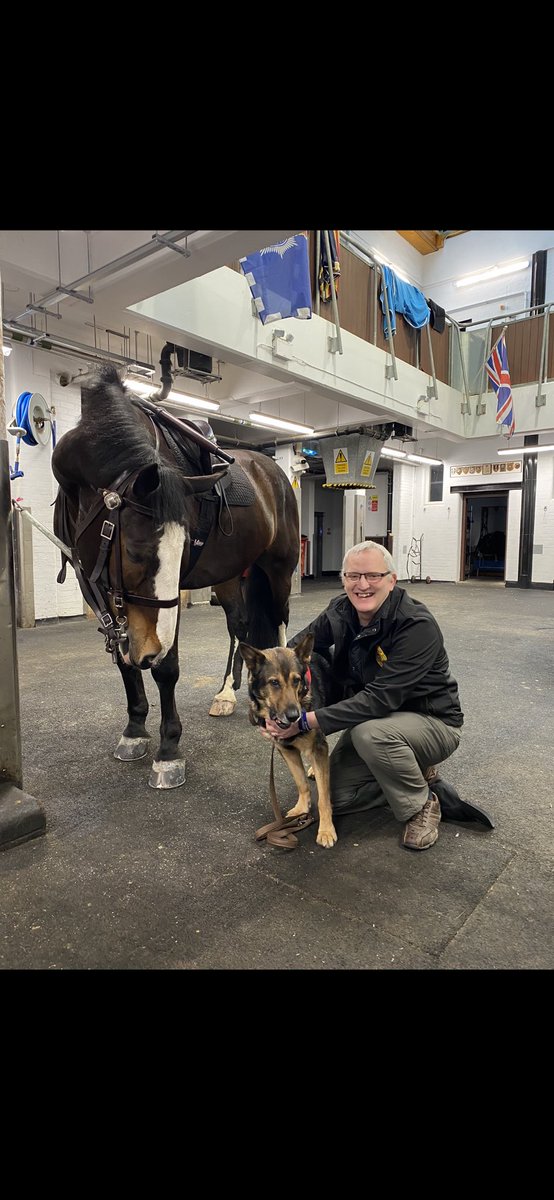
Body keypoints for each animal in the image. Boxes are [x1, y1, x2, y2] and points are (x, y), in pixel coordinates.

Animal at [51, 364, 300, 789]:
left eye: (182, 547)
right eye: (135, 551)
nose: (150, 649)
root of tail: (274, 472)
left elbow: (166, 669)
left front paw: (168, 752)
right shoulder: (96, 586)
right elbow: (124, 660)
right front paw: (134, 731)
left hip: (279, 569)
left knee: (280, 622)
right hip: (230, 575)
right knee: (241, 625)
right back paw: (226, 694)